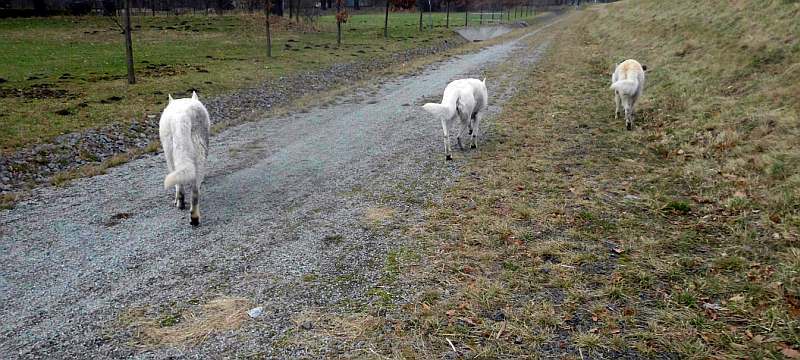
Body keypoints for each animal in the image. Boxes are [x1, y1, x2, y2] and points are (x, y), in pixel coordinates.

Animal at [158, 91, 209, 226]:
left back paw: (180, 203)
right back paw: (194, 217)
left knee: (179, 184)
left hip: (171, 153)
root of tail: (183, 117)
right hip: (200, 149)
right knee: (195, 191)